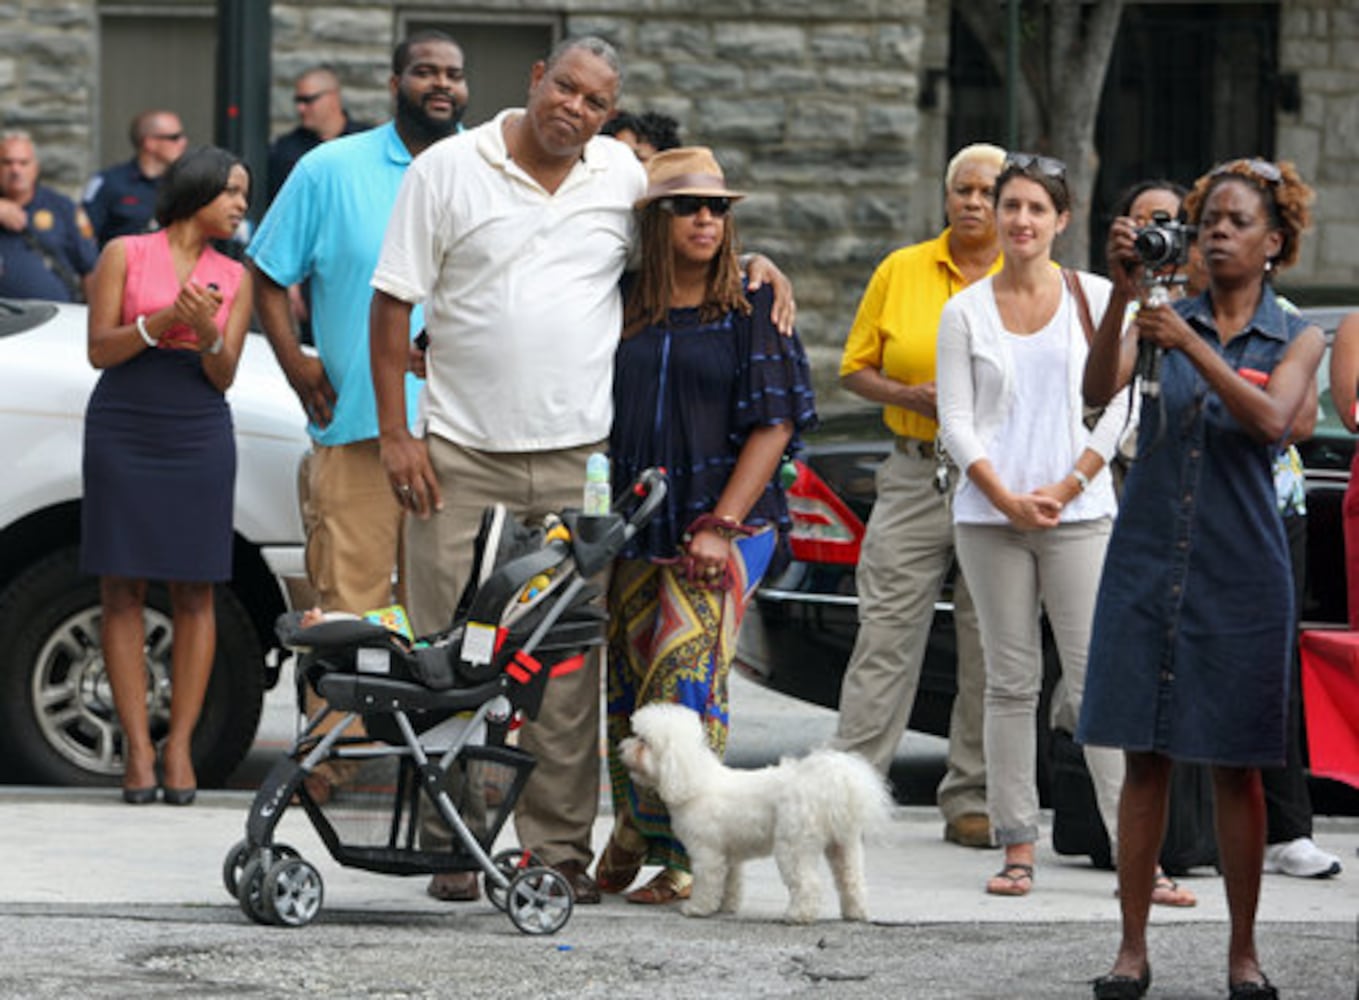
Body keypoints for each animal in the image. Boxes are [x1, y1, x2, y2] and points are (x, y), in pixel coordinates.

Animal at [616, 701, 891, 923]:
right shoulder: (728, 855)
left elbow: (708, 882)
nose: (620, 749)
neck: (693, 780)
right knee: (851, 880)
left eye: (643, 741)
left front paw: (697, 909)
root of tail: (824, 787)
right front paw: (726, 907)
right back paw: (855, 913)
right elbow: (731, 883)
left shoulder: (707, 854)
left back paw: (797, 915)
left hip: (793, 847)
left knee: (808, 884)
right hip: (844, 847)